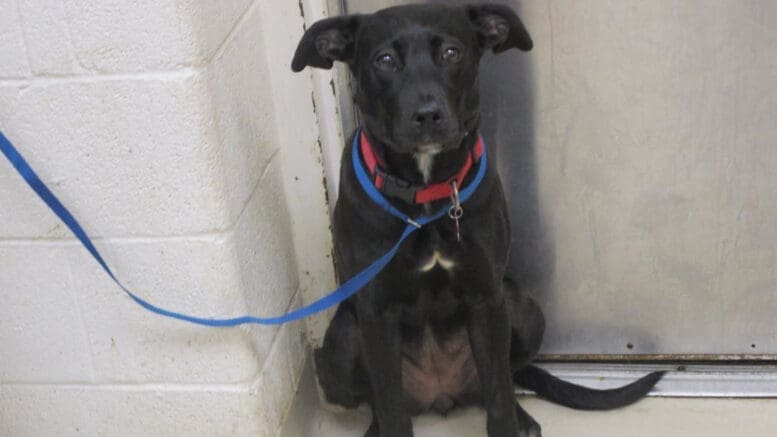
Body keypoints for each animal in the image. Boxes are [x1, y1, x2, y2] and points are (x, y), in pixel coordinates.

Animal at [292, 4, 660, 436]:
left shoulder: (487, 297)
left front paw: (509, 421)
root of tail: (440, 394)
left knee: (502, 377)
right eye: (384, 60)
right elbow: (392, 408)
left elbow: (498, 394)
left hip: (523, 310)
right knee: (377, 401)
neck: (427, 197)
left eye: (452, 53)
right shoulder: (376, 312)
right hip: (339, 346)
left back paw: (522, 417)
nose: (428, 115)